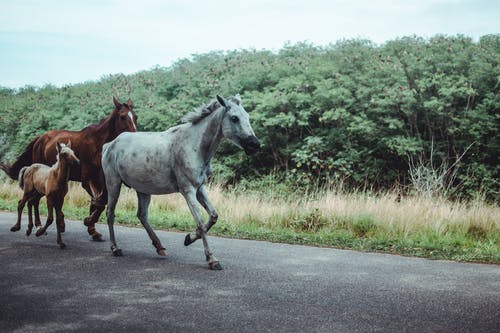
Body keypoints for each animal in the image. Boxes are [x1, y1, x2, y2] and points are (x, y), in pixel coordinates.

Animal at [0, 97, 137, 240]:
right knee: (34, 201)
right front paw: (88, 221)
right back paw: (39, 226)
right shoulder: (87, 180)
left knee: (35, 200)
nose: (135, 137)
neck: (97, 144)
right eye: (122, 117)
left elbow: (99, 202)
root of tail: (39, 139)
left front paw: (92, 228)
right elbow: (98, 202)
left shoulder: (101, 180)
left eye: (135, 117)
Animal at [100, 94, 260, 270]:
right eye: (234, 118)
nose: (255, 145)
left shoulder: (199, 188)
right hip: (113, 184)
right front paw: (212, 259)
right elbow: (200, 222)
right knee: (110, 213)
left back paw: (160, 247)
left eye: (247, 117)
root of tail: (110, 144)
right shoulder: (188, 190)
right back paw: (115, 248)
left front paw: (188, 238)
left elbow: (213, 216)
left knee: (142, 215)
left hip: (142, 189)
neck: (194, 146)